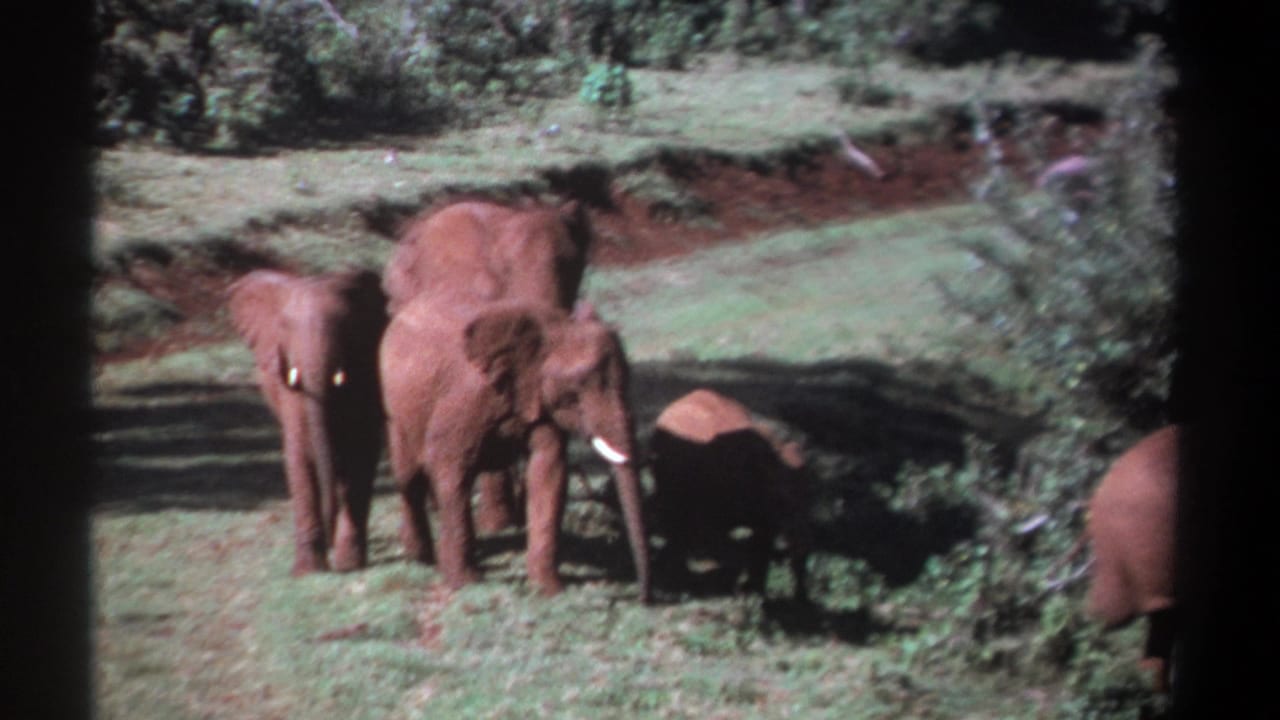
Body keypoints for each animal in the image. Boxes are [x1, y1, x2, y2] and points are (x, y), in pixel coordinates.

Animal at [228, 268, 388, 576]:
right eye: (285, 327)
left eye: (345, 325)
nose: (328, 529)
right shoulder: (290, 389)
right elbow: (301, 454)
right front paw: (307, 572)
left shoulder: (366, 369)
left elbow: (361, 452)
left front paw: (349, 563)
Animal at [379, 294, 651, 601]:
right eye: (578, 388)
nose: (643, 598)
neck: (554, 329)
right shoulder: (467, 396)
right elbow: (450, 466)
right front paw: (465, 583)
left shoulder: (541, 400)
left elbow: (549, 471)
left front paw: (549, 589)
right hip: (394, 408)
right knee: (409, 477)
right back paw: (421, 558)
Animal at [648, 389, 813, 601]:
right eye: (780, 499)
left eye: (812, 497)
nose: (802, 597)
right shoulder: (716, 486)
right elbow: (712, 533)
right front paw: (741, 592)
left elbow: (762, 541)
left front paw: (756, 594)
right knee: (676, 519)